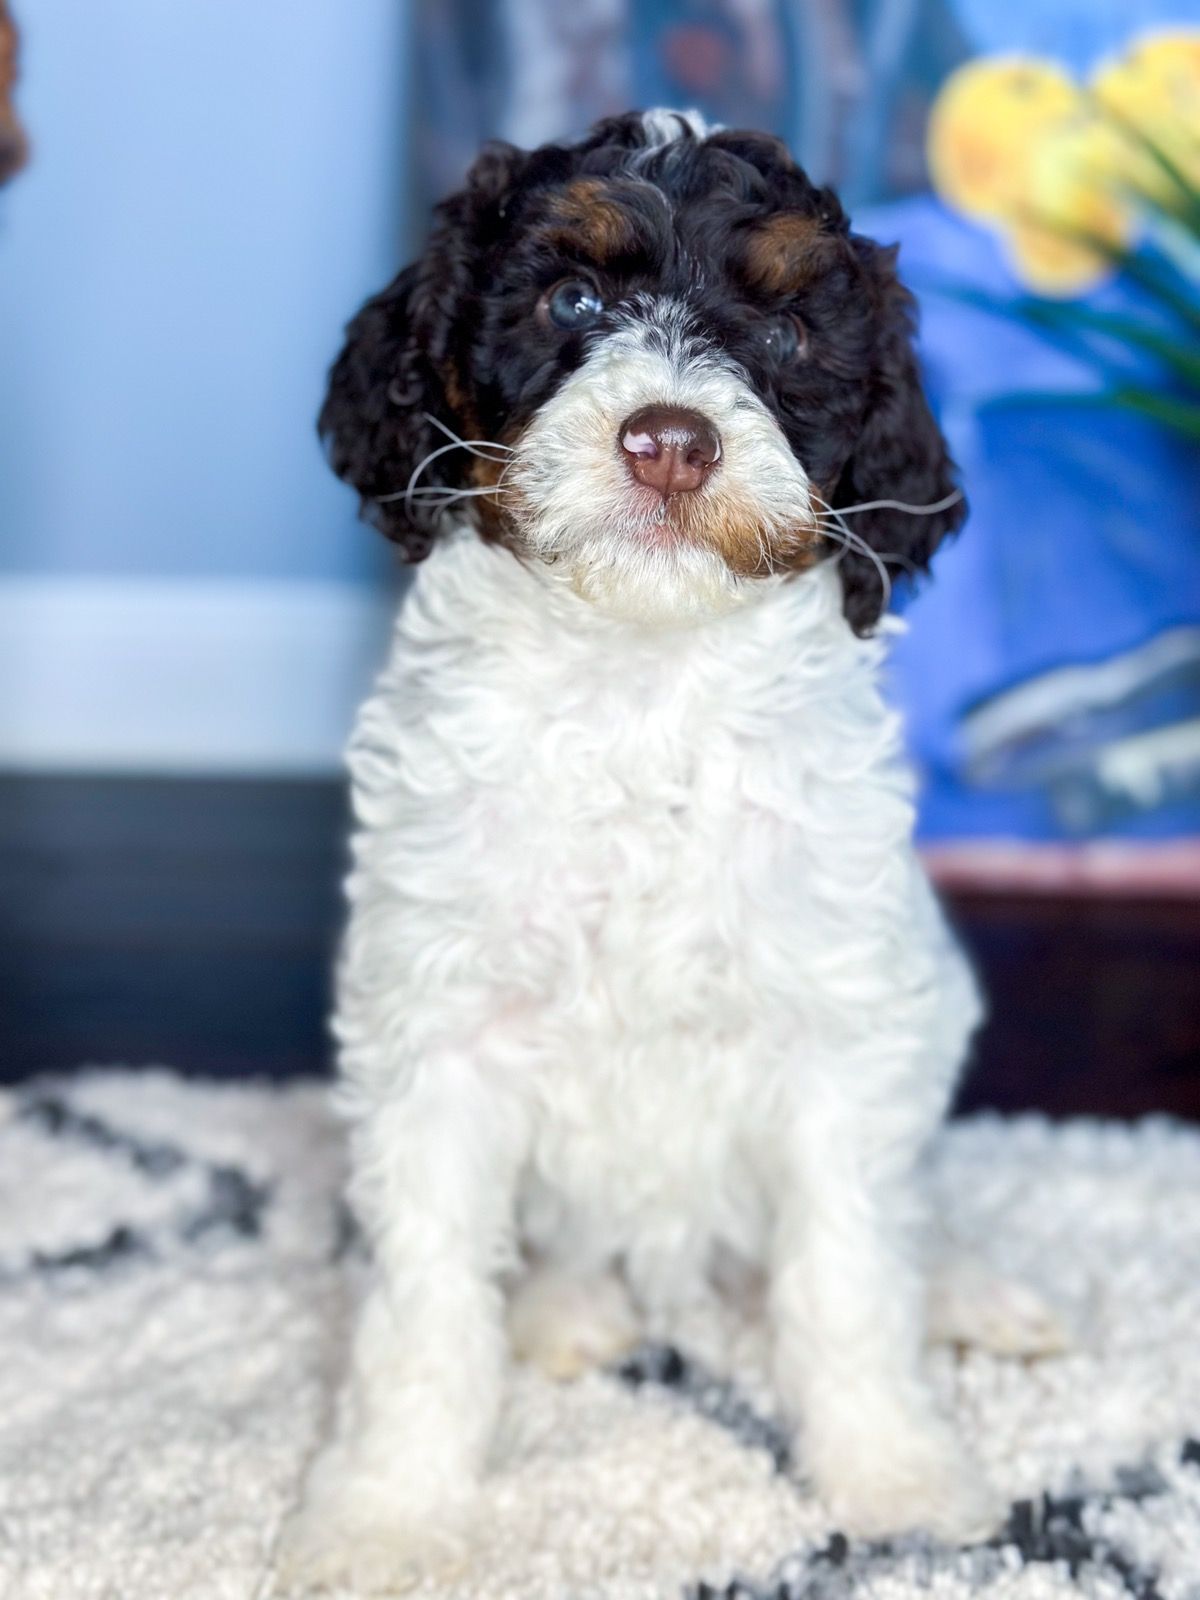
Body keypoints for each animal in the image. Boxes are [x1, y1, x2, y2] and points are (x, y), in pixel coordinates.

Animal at [281, 109, 1062, 1587]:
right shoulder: (438, 1033)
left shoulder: (836, 1033)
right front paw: (387, 1512)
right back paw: (567, 1308)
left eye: (787, 332)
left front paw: (896, 1477)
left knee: (901, 1211)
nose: (669, 442)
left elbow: (848, 1275)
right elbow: (425, 1306)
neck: (639, 685)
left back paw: (969, 1287)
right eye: (571, 302)